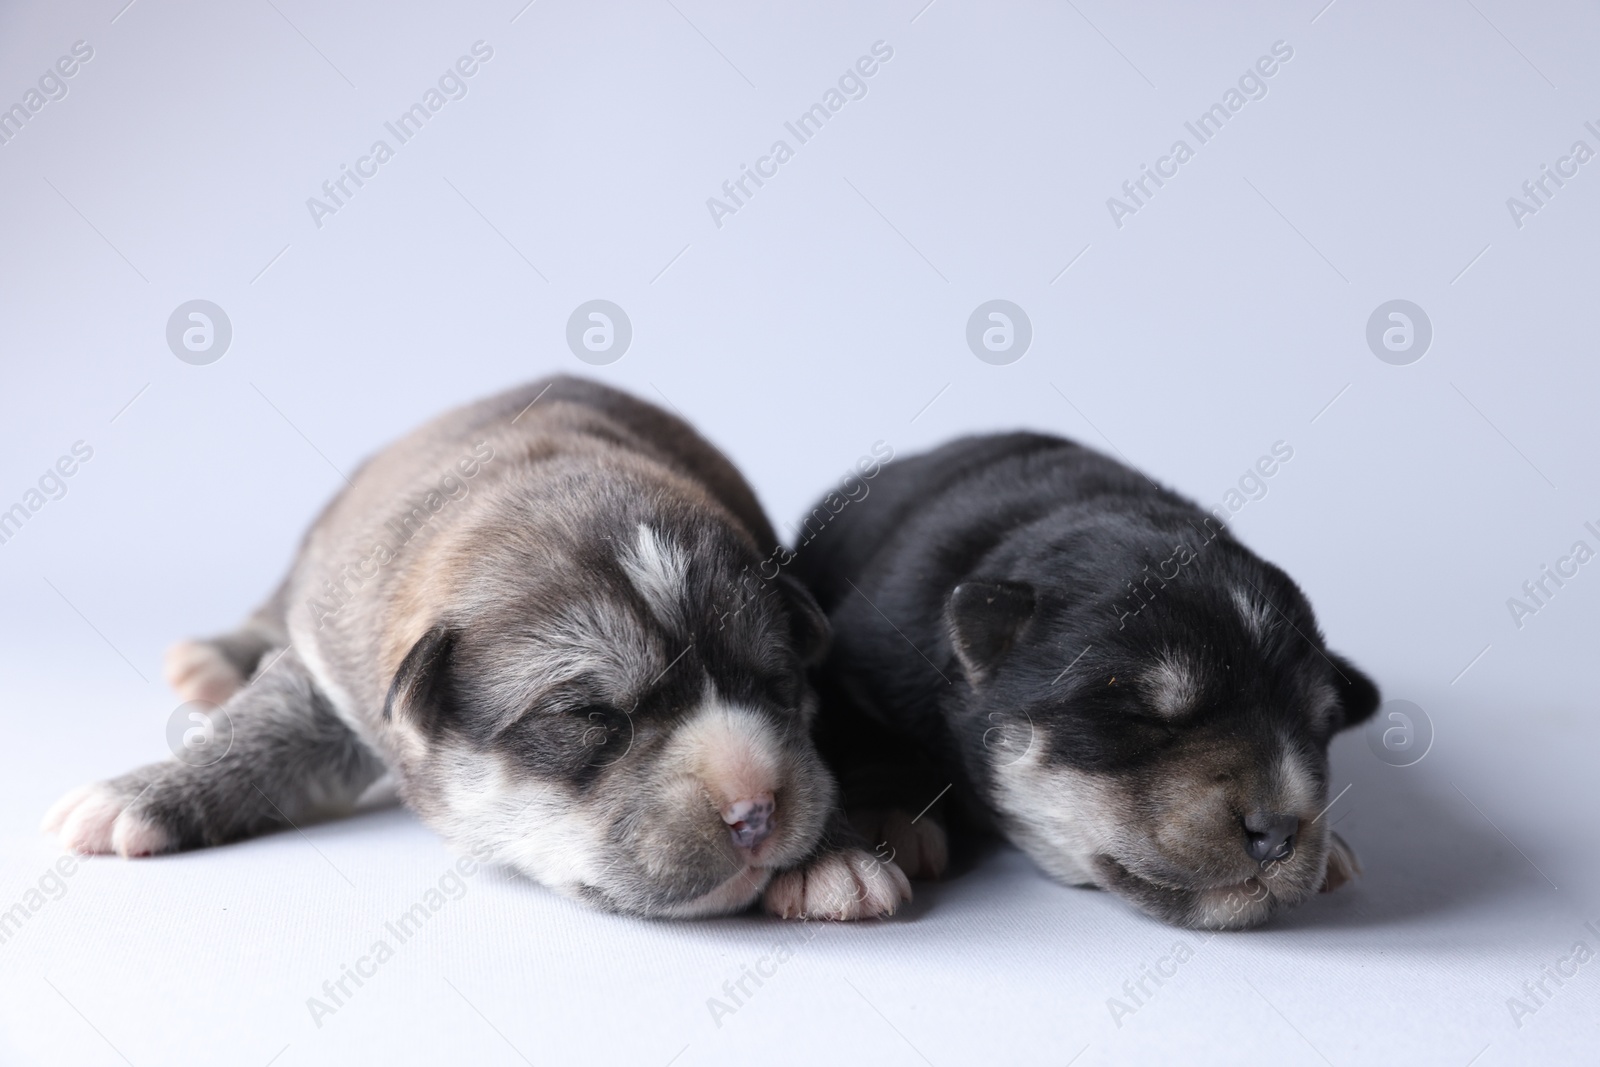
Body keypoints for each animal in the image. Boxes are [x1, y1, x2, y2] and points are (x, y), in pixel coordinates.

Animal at [40, 379, 915, 921]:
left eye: (776, 686)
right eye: (594, 716)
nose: (756, 810)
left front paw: (832, 858)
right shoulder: (336, 663)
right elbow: (266, 725)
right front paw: (138, 794)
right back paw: (212, 659)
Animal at [793, 431, 1382, 927]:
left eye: (1318, 729)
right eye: (1142, 716)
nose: (1278, 832)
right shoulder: (862, 658)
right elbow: (876, 737)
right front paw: (893, 820)